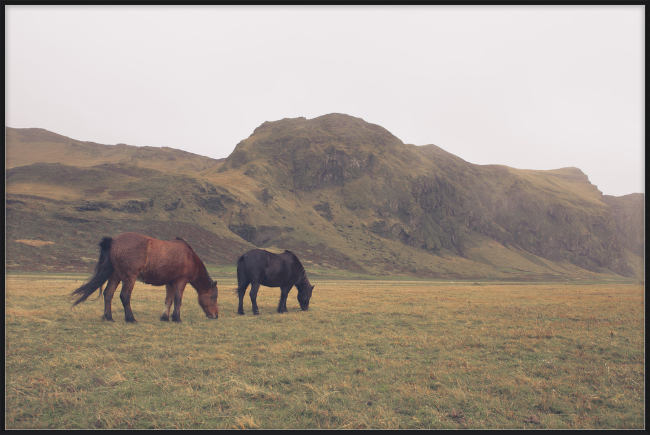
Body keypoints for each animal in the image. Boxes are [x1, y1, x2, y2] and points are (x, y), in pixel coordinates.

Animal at [71, 232, 218, 324]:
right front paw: (177, 318)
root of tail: (112, 241)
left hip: (115, 275)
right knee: (124, 295)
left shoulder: (170, 283)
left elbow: (168, 300)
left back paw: (109, 317)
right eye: (214, 297)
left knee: (108, 293)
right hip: (129, 277)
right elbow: (178, 299)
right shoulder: (180, 281)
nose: (216, 316)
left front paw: (165, 318)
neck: (189, 256)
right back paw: (131, 319)